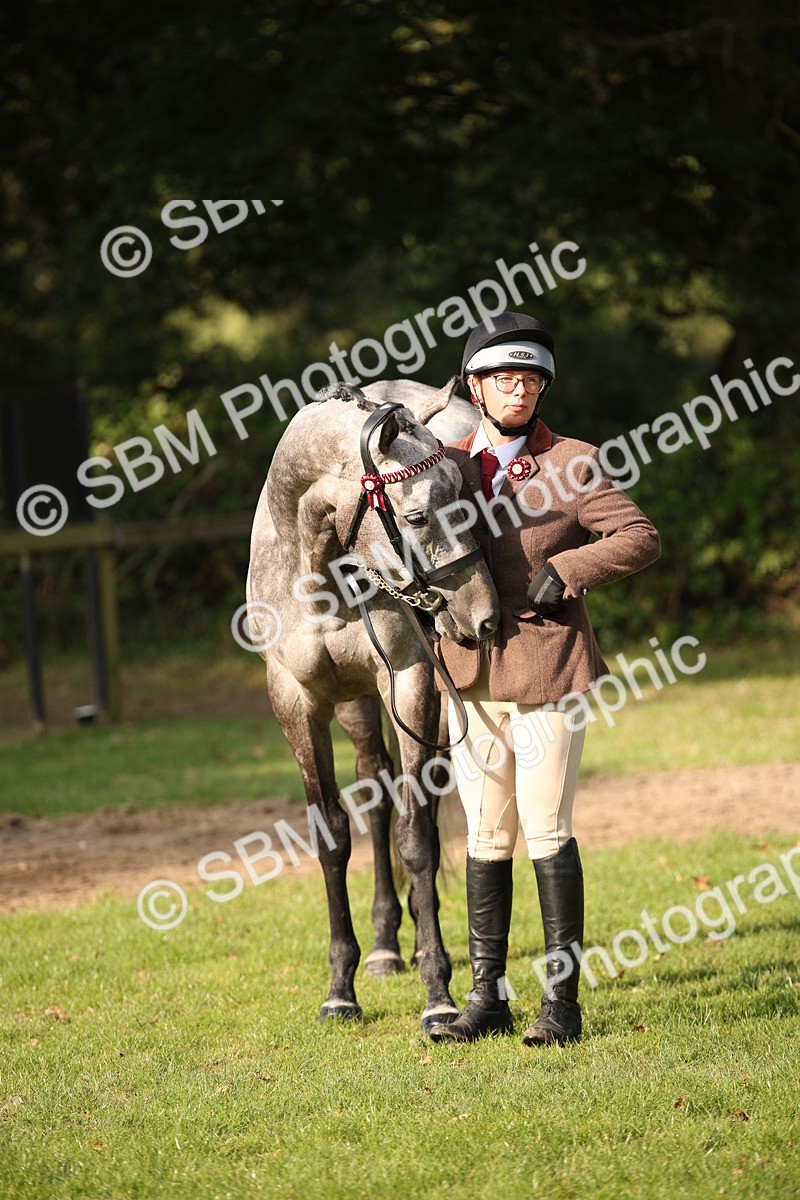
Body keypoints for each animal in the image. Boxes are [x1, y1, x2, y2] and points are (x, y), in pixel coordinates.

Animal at [246, 377, 498, 1033]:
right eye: (415, 515)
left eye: (470, 497)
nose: (484, 617)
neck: (319, 571)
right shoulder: (297, 704)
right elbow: (334, 836)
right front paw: (341, 989)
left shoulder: (411, 682)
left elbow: (417, 837)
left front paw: (439, 995)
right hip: (356, 706)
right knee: (376, 787)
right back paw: (385, 947)